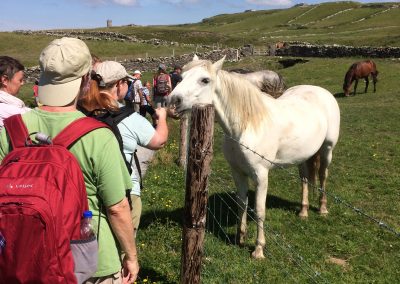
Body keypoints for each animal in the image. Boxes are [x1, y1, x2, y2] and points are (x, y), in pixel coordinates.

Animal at [167, 55, 340, 260]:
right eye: (181, 77)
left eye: (205, 80)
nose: (172, 102)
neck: (247, 125)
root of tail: (321, 92)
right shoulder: (237, 172)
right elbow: (242, 204)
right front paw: (240, 238)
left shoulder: (261, 176)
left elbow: (259, 210)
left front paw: (258, 249)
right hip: (303, 156)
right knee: (305, 179)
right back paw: (304, 211)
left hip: (327, 149)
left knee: (323, 176)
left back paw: (322, 208)